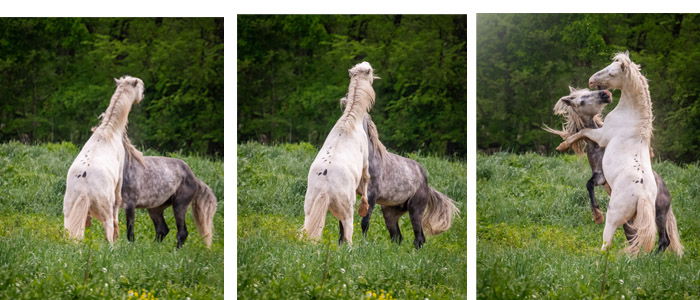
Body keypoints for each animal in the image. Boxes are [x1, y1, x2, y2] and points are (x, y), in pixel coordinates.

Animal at [63, 75, 144, 244]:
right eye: (139, 85)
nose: (143, 95)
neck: (109, 132)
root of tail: (84, 188)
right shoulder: (119, 178)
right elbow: (118, 207)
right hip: (104, 213)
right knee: (109, 232)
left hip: (69, 214)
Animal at [302, 61, 378, 244]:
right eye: (370, 71)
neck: (350, 122)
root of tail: (325, 187)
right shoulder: (365, 163)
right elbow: (366, 181)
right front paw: (364, 208)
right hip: (347, 214)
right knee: (348, 236)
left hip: (308, 211)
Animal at [556, 52, 656, 254]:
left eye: (611, 73)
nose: (592, 81)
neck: (632, 119)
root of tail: (642, 195)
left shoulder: (601, 136)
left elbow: (582, 132)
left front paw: (563, 145)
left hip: (614, 215)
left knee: (608, 241)